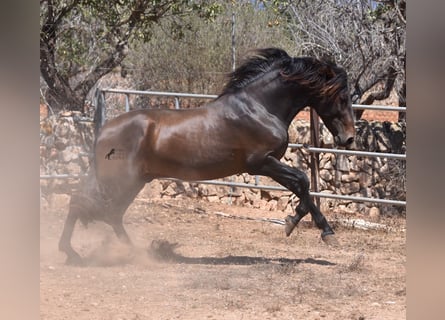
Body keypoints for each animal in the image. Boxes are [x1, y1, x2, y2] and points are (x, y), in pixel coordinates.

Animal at [60, 46, 356, 264]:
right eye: (342, 97)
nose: (349, 138)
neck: (259, 107)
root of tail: (102, 131)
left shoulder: (267, 164)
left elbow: (302, 186)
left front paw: (304, 225)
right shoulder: (261, 163)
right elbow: (303, 181)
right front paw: (311, 228)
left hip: (132, 180)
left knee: (105, 210)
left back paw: (126, 253)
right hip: (120, 179)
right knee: (87, 204)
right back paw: (79, 253)